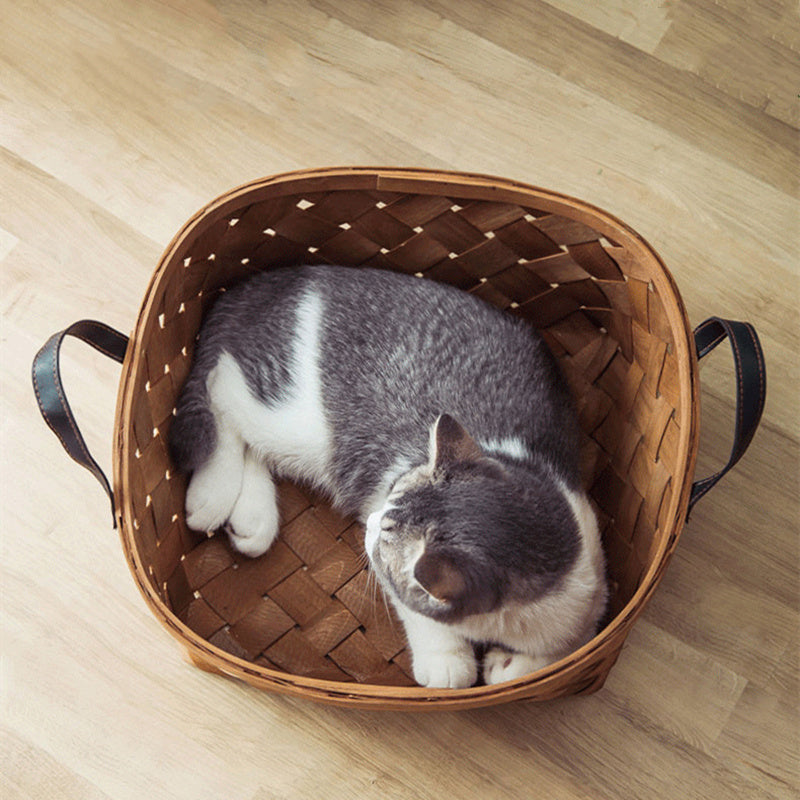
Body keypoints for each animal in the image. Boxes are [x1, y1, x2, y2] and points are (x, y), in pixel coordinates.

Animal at [169, 262, 608, 688]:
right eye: (392, 493)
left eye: (386, 529)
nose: (371, 522)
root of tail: (269, 280)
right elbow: (433, 633)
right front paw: (448, 661)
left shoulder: (589, 590)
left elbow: (569, 643)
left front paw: (513, 664)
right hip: (293, 421)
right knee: (221, 391)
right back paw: (213, 491)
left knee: (250, 438)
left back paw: (251, 518)